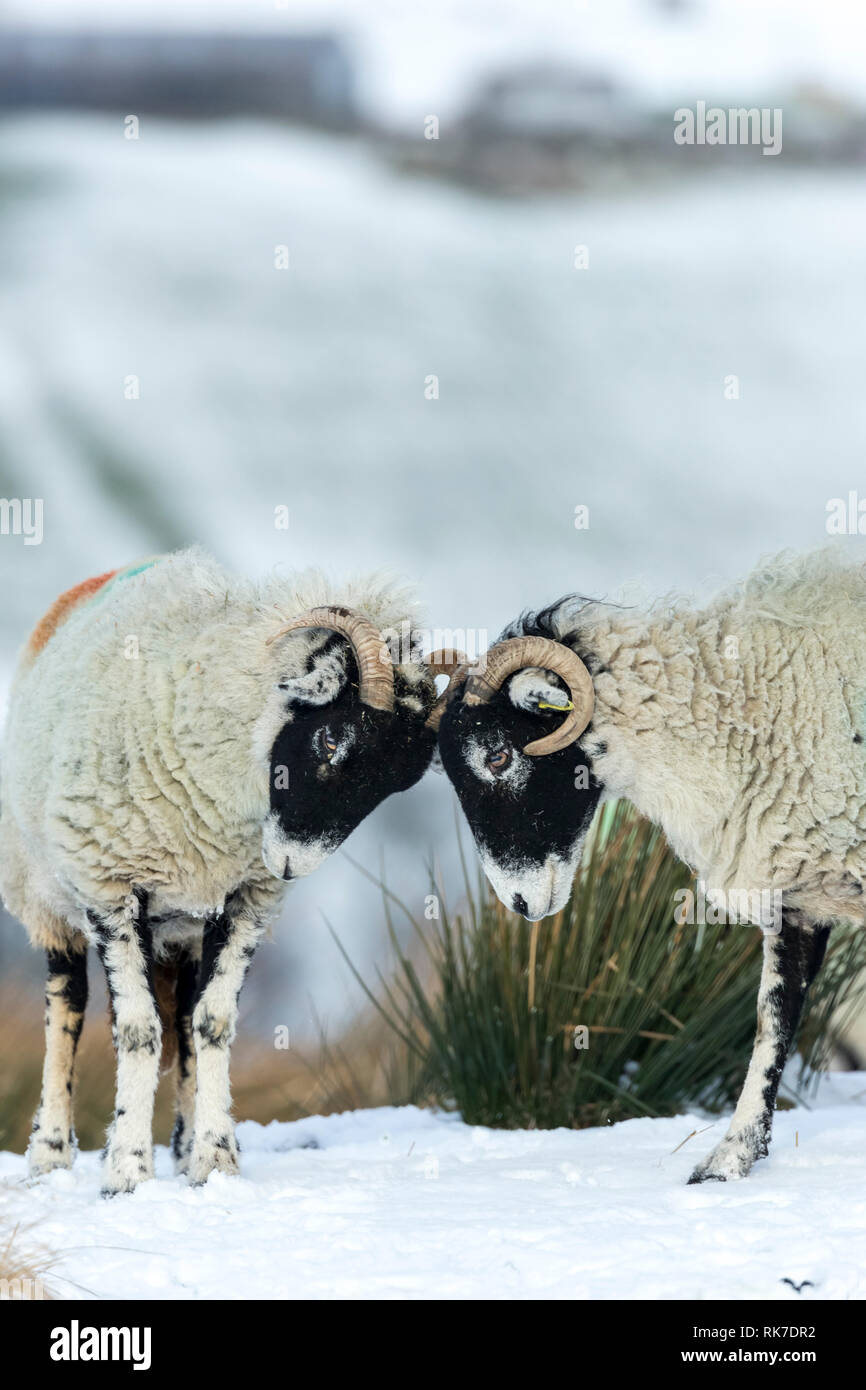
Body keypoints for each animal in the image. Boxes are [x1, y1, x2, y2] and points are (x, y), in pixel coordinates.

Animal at [1, 547, 440, 1194]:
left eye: (393, 784)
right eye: (332, 738)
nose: (289, 863)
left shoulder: (244, 900)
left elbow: (211, 1024)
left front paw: (214, 1160)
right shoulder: (111, 889)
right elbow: (136, 1030)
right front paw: (126, 1172)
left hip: (182, 925)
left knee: (183, 1019)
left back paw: (183, 1149)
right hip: (45, 896)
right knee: (67, 1008)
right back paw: (50, 1153)